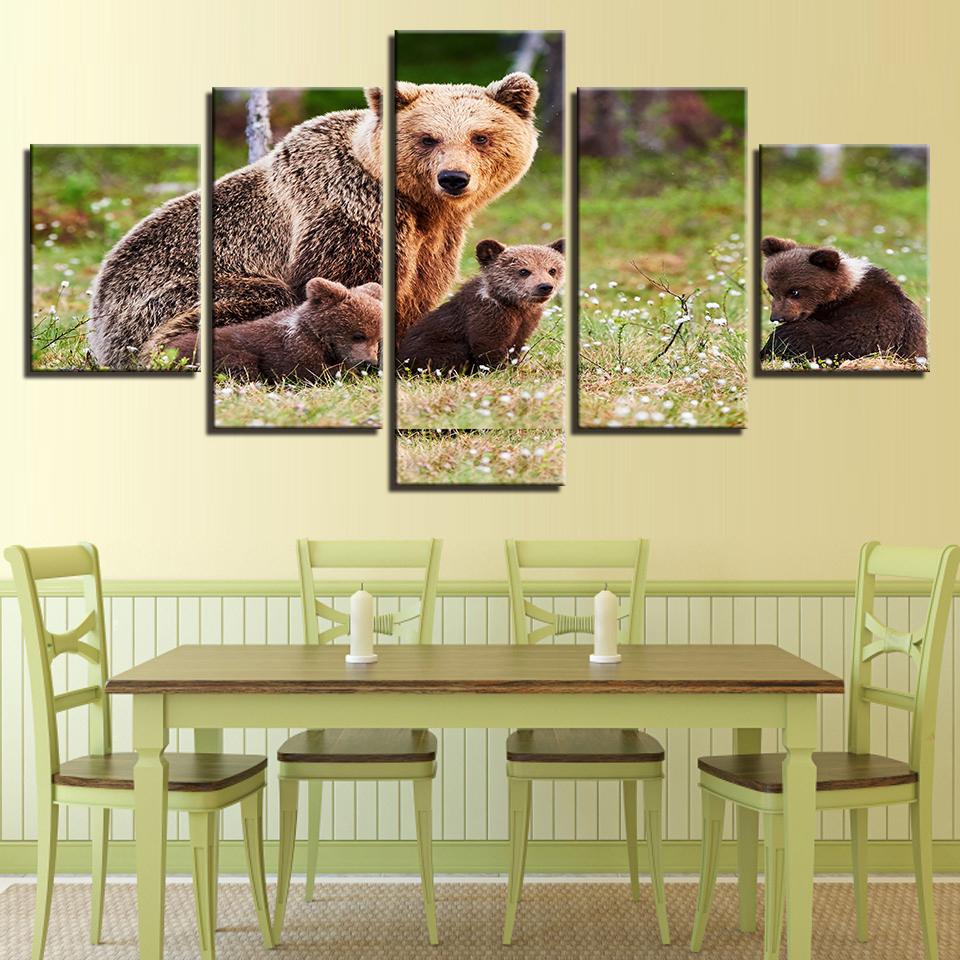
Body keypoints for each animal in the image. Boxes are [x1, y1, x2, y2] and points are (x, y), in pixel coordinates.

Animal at [398, 238, 564, 373]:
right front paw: (497, 371)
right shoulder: (487, 317)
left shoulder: (526, 323)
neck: (514, 305)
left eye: (552, 270)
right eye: (524, 271)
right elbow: (488, 347)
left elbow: (516, 347)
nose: (545, 286)